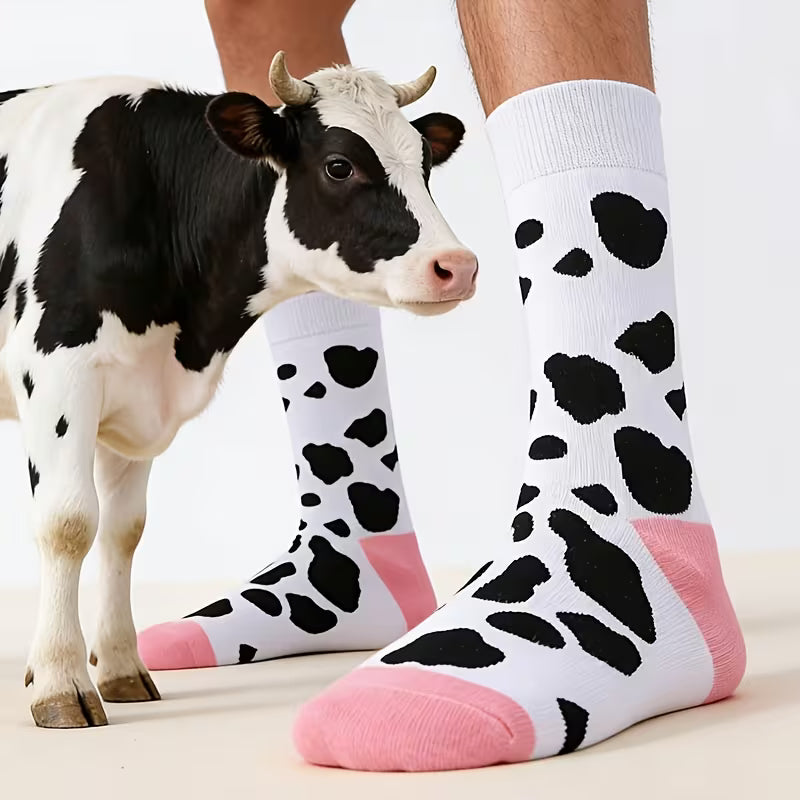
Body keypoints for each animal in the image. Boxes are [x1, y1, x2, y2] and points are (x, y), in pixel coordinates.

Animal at [0, 51, 477, 728]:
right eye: (339, 164)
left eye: (425, 162)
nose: (456, 266)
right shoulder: (56, 368)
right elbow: (68, 523)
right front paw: (61, 684)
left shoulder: (133, 393)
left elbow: (123, 530)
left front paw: (120, 668)